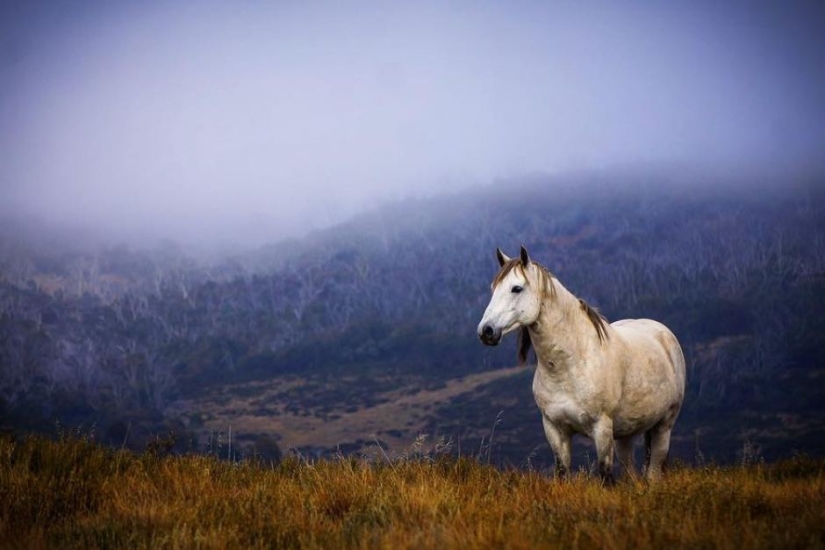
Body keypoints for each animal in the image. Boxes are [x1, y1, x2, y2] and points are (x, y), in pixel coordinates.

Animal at [477, 246, 685, 483]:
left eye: (516, 288)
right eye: (494, 288)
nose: (486, 331)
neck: (569, 366)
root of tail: (662, 332)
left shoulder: (601, 428)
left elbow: (605, 475)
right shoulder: (555, 429)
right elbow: (561, 471)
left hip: (663, 426)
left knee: (653, 473)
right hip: (626, 432)